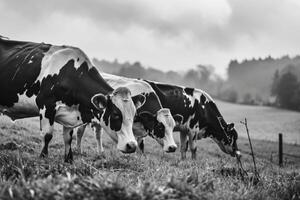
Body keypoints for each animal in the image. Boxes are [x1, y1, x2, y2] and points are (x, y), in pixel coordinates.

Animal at [0, 37, 145, 162]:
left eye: (134, 116)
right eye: (115, 115)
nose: (132, 146)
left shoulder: (69, 115)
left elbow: (68, 138)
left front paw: (68, 159)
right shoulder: (46, 106)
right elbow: (48, 135)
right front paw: (43, 157)